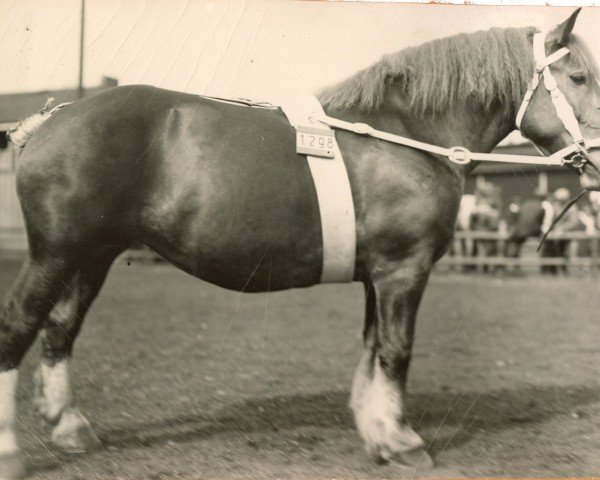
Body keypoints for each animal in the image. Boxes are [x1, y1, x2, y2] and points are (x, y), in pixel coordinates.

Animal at [1, 8, 600, 480]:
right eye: (577, 75)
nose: (596, 156)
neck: (407, 134)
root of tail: (53, 118)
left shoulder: (377, 275)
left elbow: (372, 346)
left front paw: (376, 430)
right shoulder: (403, 270)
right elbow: (396, 349)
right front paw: (402, 441)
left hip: (92, 256)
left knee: (60, 329)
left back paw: (71, 427)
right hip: (55, 253)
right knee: (20, 326)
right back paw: (12, 452)